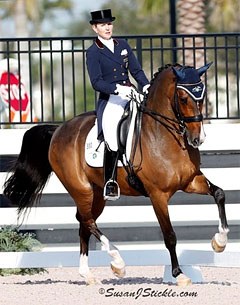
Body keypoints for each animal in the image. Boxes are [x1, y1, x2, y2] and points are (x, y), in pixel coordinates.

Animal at [3, 63, 229, 286]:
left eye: (202, 97)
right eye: (183, 98)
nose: (198, 138)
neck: (164, 135)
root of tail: (59, 129)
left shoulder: (191, 181)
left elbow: (219, 193)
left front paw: (219, 242)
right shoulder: (158, 195)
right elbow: (170, 235)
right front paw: (179, 274)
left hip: (97, 193)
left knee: (84, 223)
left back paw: (88, 274)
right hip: (81, 189)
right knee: (87, 221)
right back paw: (117, 262)